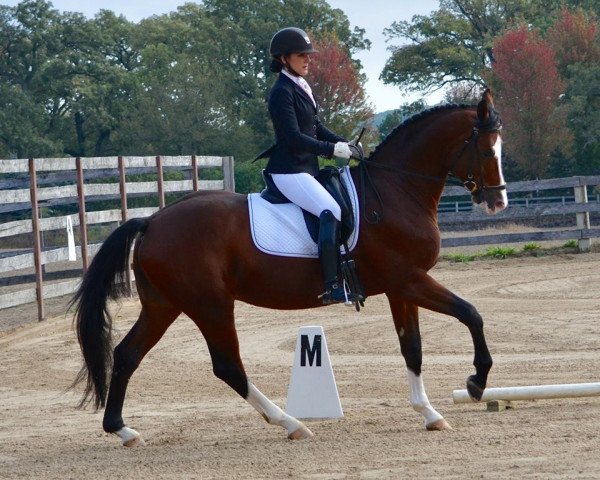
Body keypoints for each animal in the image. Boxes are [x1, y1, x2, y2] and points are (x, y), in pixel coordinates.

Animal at [72, 88, 508, 444]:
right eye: (488, 151)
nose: (498, 201)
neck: (395, 191)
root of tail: (152, 221)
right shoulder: (410, 279)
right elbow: (471, 313)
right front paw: (475, 383)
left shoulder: (401, 287)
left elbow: (412, 347)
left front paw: (430, 413)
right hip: (210, 305)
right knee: (227, 366)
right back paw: (291, 423)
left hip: (164, 304)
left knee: (127, 354)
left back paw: (123, 430)